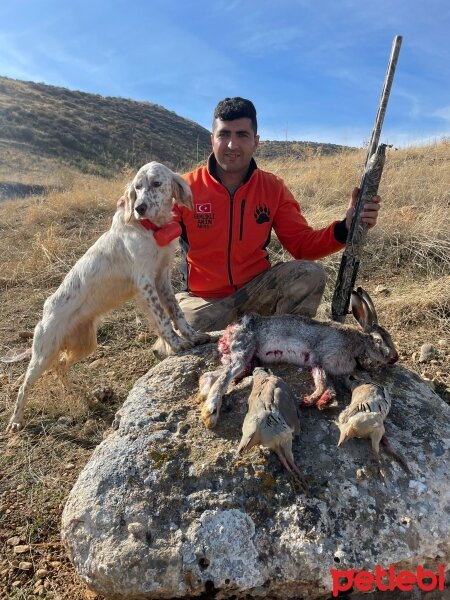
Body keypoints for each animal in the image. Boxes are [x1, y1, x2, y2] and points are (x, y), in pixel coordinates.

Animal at [5, 159, 209, 432]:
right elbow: (163, 320)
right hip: (43, 353)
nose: (139, 207)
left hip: (85, 344)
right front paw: (177, 344)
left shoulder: (162, 278)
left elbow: (176, 312)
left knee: (61, 366)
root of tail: (46, 309)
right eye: (137, 188)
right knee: (25, 384)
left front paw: (193, 335)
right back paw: (16, 420)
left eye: (156, 183)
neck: (149, 228)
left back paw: (80, 396)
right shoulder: (145, 283)